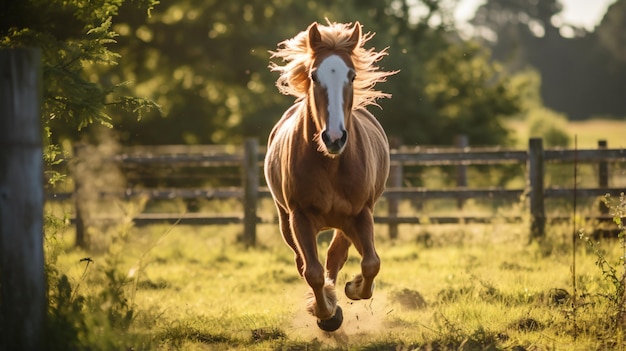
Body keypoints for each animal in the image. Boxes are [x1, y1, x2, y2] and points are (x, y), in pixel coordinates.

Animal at [264, 20, 394, 332]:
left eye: (352, 75)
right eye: (314, 75)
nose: (334, 137)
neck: (331, 164)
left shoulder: (360, 214)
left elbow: (371, 263)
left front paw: (353, 289)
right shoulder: (299, 217)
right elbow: (311, 271)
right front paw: (326, 313)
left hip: (347, 221)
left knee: (337, 256)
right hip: (286, 221)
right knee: (306, 263)